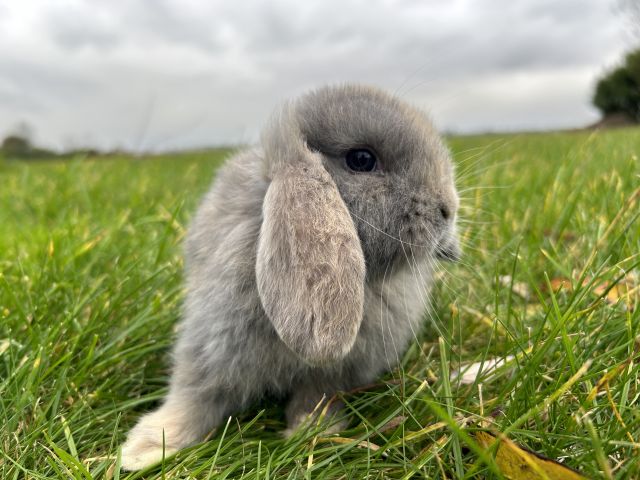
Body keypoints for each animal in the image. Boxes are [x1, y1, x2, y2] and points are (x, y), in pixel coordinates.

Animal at [120, 84, 460, 470]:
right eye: (362, 159)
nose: (448, 209)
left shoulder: (330, 376)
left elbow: (316, 397)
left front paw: (313, 433)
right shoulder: (212, 347)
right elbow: (195, 397)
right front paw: (144, 450)